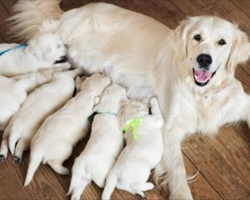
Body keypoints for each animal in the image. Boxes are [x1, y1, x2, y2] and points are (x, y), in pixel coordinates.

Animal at [8, 0, 250, 199]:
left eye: (222, 42)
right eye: (197, 37)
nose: (204, 59)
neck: (203, 94)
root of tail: (73, 11)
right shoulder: (170, 130)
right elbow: (179, 176)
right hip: (56, 43)